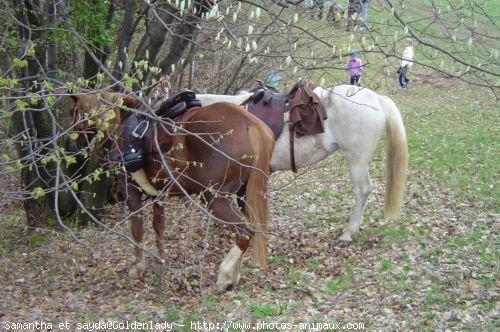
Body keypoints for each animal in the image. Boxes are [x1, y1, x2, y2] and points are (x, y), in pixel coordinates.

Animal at [69, 92, 274, 290]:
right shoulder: (158, 194)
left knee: (245, 231)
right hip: (242, 196)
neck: (124, 119)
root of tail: (251, 125)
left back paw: (224, 277)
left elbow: (137, 228)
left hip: (215, 199)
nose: (72, 146)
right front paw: (162, 261)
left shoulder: (130, 189)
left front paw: (138, 268)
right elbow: (158, 226)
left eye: (74, 112)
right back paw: (234, 276)